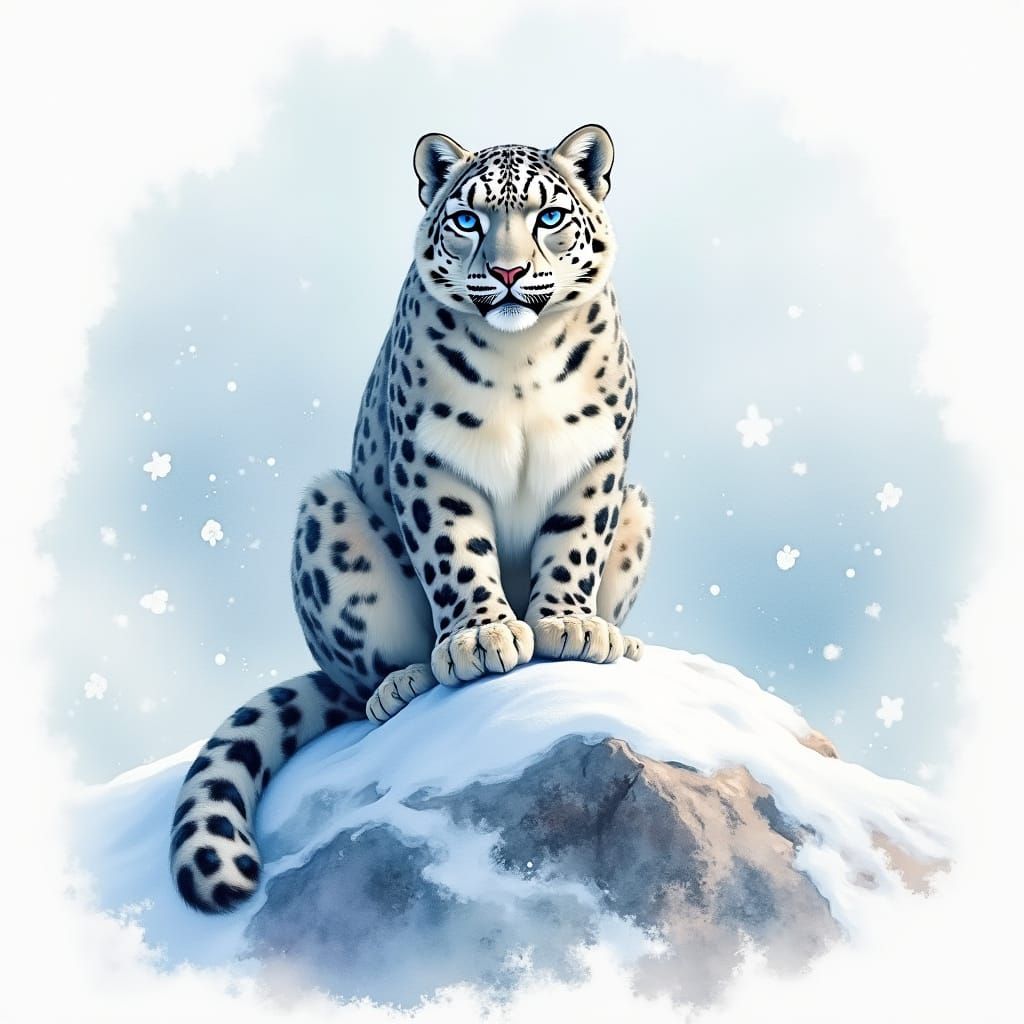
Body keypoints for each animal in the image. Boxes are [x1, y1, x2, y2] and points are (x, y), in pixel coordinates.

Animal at [169, 125, 654, 913]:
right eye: (468, 219)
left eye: (550, 216)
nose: (510, 271)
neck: (522, 359)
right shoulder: (434, 457)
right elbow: (456, 553)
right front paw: (483, 639)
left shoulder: (596, 455)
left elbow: (574, 544)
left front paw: (569, 626)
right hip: (326, 514)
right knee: (359, 683)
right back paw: (402, 683)